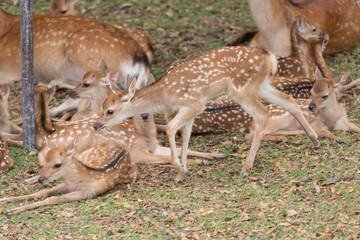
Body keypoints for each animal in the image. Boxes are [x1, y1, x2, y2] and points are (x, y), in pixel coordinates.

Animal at [0, 139, 138, 216]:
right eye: (44, 161)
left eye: (57, 164)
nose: (41, 179)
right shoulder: (67, 185)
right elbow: (43, 192)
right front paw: (4, 200)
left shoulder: (89, 192)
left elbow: (53, 198)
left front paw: (11, 211)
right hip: (84, 154)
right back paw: (25, 181)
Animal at [92, 46, 318, 183]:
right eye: (102, 106)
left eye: (110, 111)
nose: (96, 125)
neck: (163, 94)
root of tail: (268, 56)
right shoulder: (192, 109)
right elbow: (186, 135)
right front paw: (183, 172)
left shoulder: (194, 103)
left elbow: (172, 128)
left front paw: (179, 169)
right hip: (261, 85)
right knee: (289, 101)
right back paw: (314, 140)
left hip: (241, 88)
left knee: (262, 114)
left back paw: (246, 166)